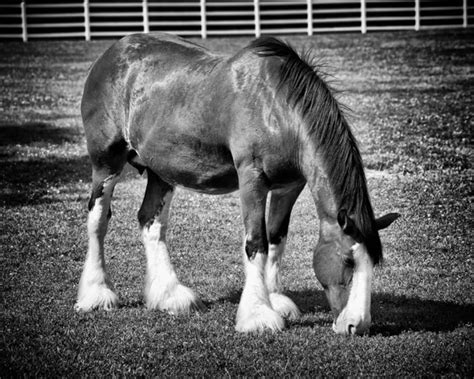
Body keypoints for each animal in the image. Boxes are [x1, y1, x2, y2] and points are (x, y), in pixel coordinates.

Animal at [76, 32, 398, 336]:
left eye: (373, 263)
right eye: (347, 261)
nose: (357, 325)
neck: (276, 108)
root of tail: (113, 53)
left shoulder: (288, 187)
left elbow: (277, 240)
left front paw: (275, 299)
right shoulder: (252, 180)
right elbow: (256, 243)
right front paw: (258, 315)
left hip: (161, 171)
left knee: (150, 222)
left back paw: (170, 296)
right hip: (107, 162)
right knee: (98, 219)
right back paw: (96, 294)